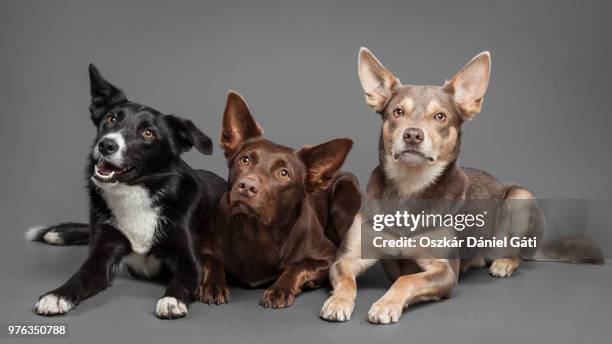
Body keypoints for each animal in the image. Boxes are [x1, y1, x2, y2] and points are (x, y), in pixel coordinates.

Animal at [25, 65, 225, 320]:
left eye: (148, 133)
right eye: (111, 119)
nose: (106, 145)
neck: (135, 193)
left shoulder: (190, 261)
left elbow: (182, 281)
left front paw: (172, 300)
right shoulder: (101, 254)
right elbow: (80, 277)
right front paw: (57, 295)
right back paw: (58, 233)